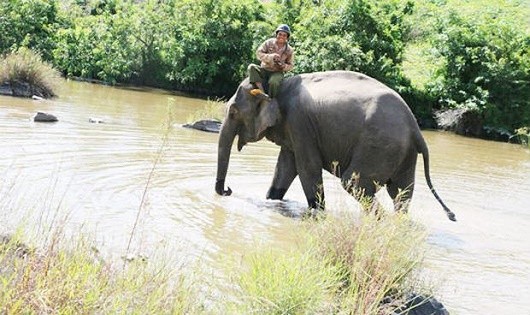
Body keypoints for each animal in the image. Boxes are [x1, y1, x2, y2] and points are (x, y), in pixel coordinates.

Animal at [214, 70, 454, 222]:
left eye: (233, 112)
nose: (227, 191)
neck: (274, 87)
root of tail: (415, 128)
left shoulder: (300, 123)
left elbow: (307, 168)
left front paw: (317, 212)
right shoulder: (293, 130)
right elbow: (284, 167)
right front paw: (272, 199)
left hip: (378, 146)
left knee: (353, 183)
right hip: (403, 152)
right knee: (401, 193)